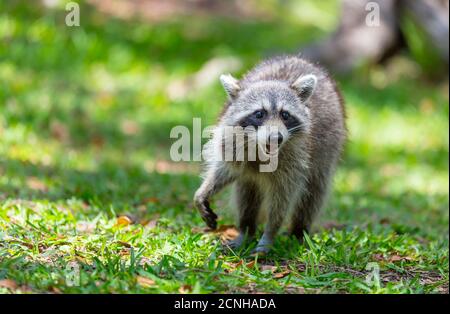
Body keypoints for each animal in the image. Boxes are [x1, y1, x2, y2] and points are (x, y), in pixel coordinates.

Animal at [194, 55, 348, 254]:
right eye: (259, 113)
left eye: (285, 115)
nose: (276, 137)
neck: (262, 151)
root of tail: (297, 58)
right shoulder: (231, 142)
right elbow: (224, 171)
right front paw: (203, 192)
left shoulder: (296, 161)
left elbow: (282, 198)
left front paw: (270, 233)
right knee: (246, 193)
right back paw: (246, 229)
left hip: (327, 150)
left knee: (313, 194)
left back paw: (299, 231)